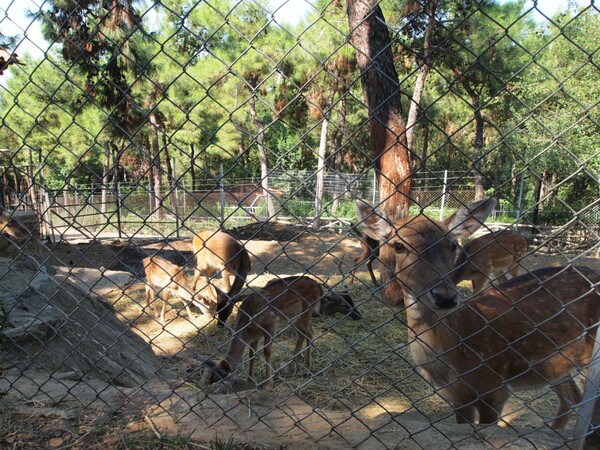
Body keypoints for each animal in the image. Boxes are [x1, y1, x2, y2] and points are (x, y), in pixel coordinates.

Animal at [356, 199, 600, 430]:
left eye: (453, 245)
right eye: (398, 245)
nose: (445, 297)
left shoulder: (494, 389)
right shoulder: (458, 397)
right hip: (557, 364)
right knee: (571, 398)